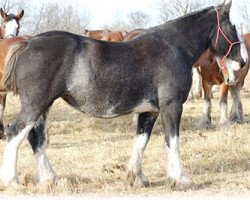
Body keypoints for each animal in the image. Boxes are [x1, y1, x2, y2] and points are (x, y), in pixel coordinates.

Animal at [0, 1, 247, 189]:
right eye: (232, 27)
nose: (243, 61)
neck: (174, 48)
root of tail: (28, 43)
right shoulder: (172, 106)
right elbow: (173, 141)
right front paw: (180, 179)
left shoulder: (149, 111)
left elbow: (141, 141)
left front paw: (137, 177)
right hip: (35, 105)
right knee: (15, 133)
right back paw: (12, 181)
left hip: (44, 106)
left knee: (37, 138)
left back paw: (51, 179)